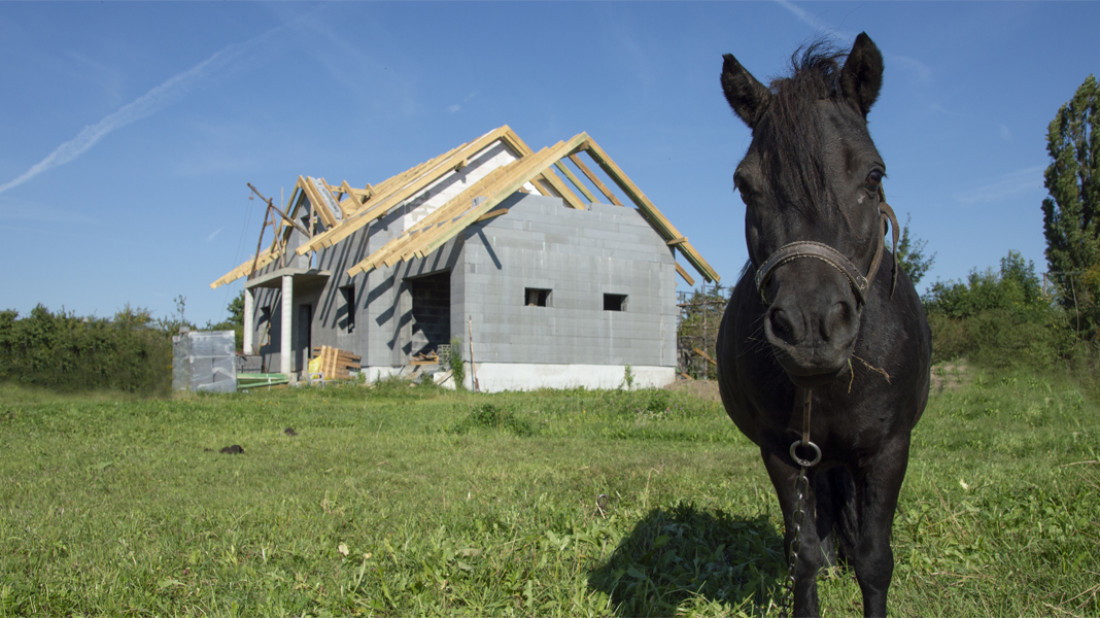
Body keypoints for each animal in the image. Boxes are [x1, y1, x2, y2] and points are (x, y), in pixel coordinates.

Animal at [717, 34, 932, 615]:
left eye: (874, 175)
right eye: (744, 185)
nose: (810, 326)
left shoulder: (888, 450)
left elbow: (876, 561)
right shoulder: (781, 453)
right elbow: (803, 555)